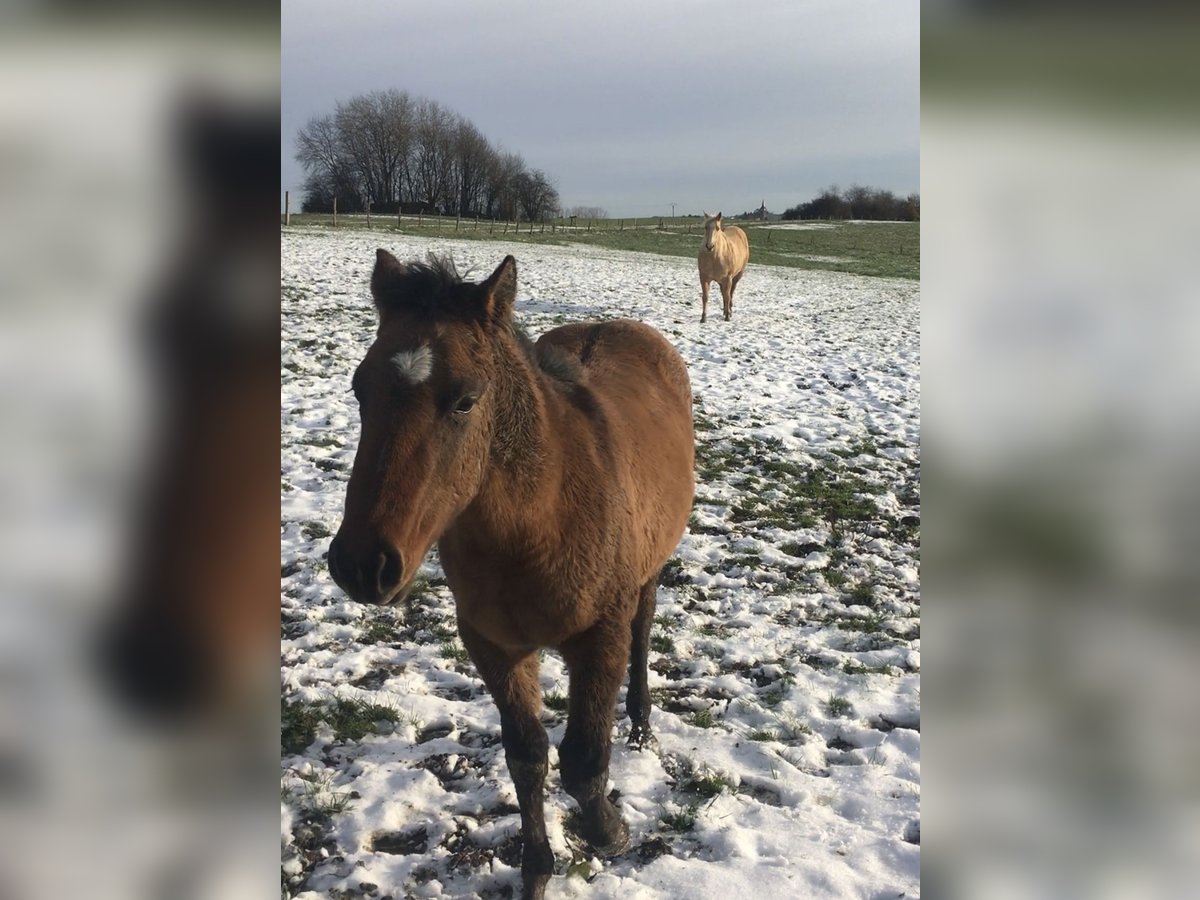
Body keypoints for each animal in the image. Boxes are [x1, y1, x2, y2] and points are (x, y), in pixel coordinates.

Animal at [333, 252, 700, 900]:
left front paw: (611, 831)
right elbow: (526, 756)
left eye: (464, 400)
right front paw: (537, 871)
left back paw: (641, 724)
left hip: (650, 568)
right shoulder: (494, 646)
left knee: (645, 624)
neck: (540, 520)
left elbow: (583, 760)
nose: (362, 564)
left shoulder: (599, 637)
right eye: (359, 388)